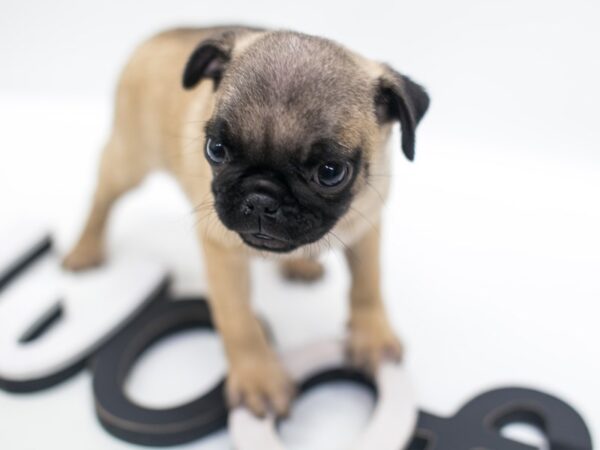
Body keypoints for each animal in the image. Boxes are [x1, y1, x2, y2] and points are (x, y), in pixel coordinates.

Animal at [63, 26, 428, 416]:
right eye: (216, 149)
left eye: (331, 173)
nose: (261, 198)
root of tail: (163, 35)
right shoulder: (222, 254)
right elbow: (239, 321)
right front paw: (258, 379)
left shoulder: (367, 226)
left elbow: (367, 284)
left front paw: (371, 336)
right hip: (128, 159)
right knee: (101, 198)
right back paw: (84, 249)